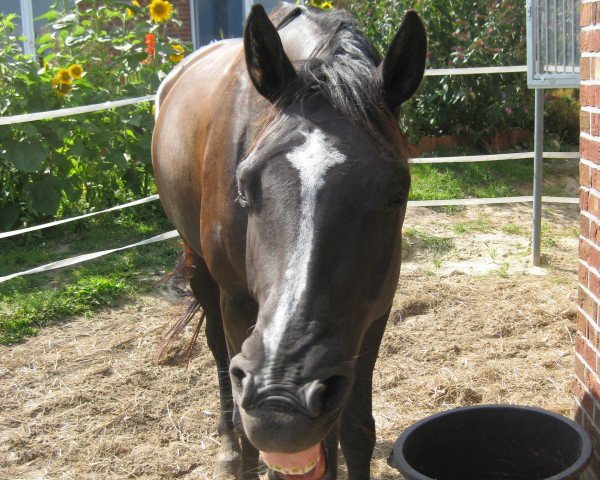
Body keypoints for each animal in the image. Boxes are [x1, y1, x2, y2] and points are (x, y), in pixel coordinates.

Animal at [155, 4, 426, 480]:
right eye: (244, 185)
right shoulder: (237, 306)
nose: (281, 398)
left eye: (398, 193)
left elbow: (355, 430)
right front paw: (243, 450)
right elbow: (255, 438)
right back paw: (227, 445)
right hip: (199, 267)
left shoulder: (374, 313)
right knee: (216, 354)